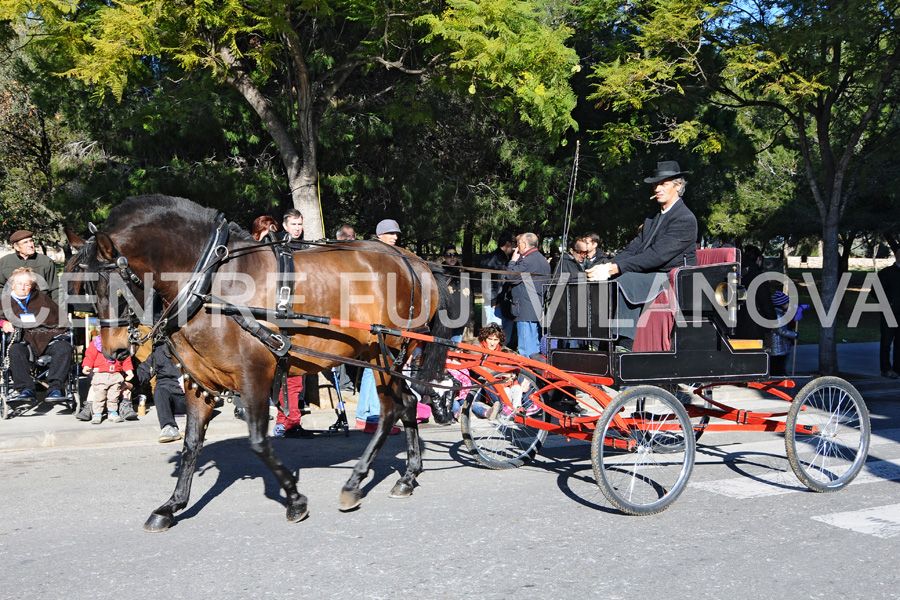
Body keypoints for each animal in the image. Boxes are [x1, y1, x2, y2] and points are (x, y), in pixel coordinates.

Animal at [65, 195, 450, 532]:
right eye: (86, 287)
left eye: (113, 287)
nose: (113, 350)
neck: (210, 283)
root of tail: (414, 261)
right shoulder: (200, 382)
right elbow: (191, 443)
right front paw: (171, 506)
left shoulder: (254, 376)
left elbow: (258, 441)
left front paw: (294, 498)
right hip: (380, 356)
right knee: (408, 403)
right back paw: (408, 475)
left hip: (387, 351)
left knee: (390, 410)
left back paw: (355, 483)